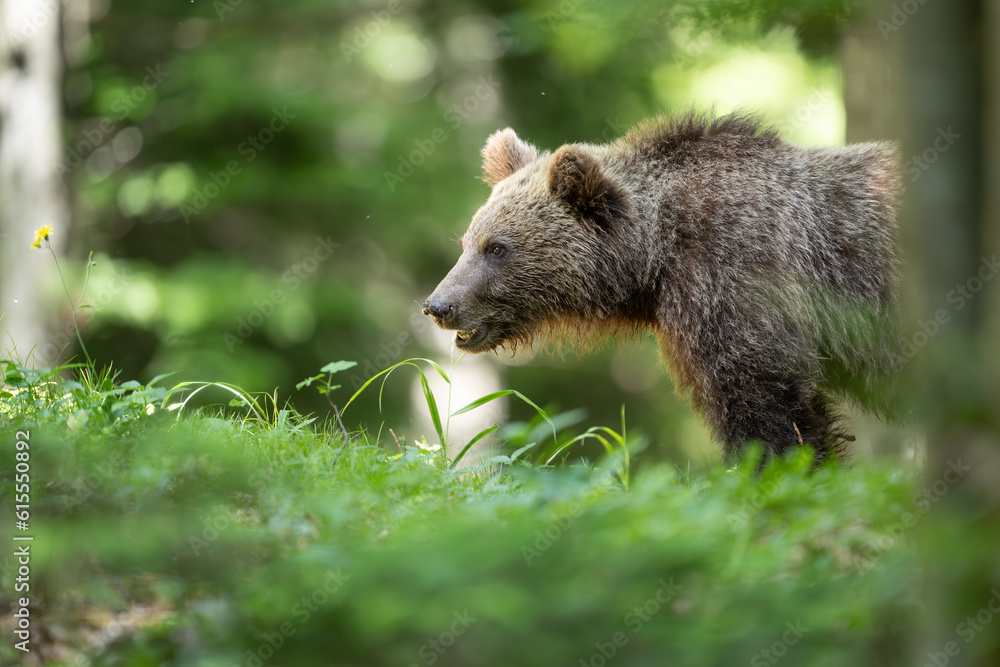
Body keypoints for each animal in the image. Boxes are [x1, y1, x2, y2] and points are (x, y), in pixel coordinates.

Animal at [422, 111, 900, 463]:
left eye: (497, 247)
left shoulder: (736, 278)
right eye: (467, 242)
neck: (657, 257)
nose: (438, 305)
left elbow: (767, 404)